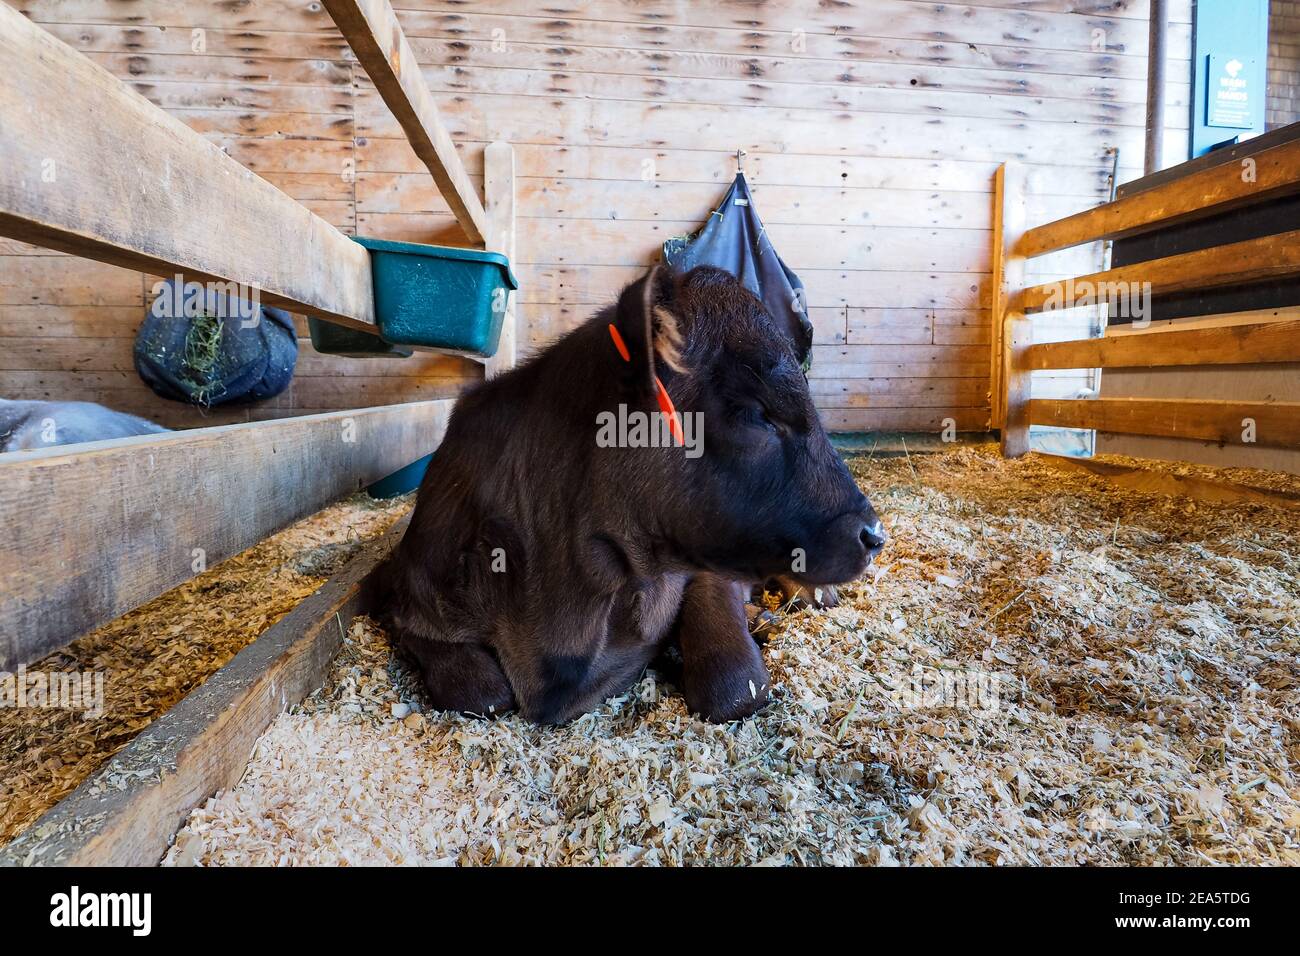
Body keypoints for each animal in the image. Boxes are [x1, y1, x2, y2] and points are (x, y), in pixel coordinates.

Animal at [371, 265, 889, 723]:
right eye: (757, 412)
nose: (874, 535)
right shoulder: (413, 594)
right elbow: (481, 693)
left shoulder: (699, 564)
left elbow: (736, 689)